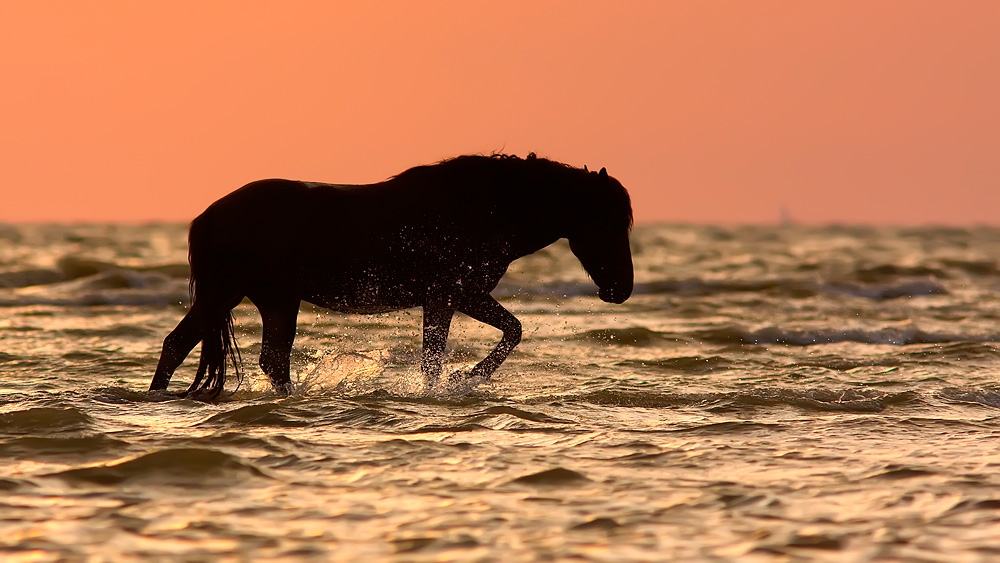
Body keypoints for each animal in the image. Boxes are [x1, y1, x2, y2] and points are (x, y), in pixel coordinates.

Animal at [148, 154, 632, 400]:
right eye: (608, 222)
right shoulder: (453, 294)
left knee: (207, 349)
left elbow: (495, 336)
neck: (487, 207)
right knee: (237, 354)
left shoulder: (451, 298)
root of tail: (209, 215)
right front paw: (462, 380)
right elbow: (474, 344)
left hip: (256, 298)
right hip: (246, 296)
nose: (621, 289)